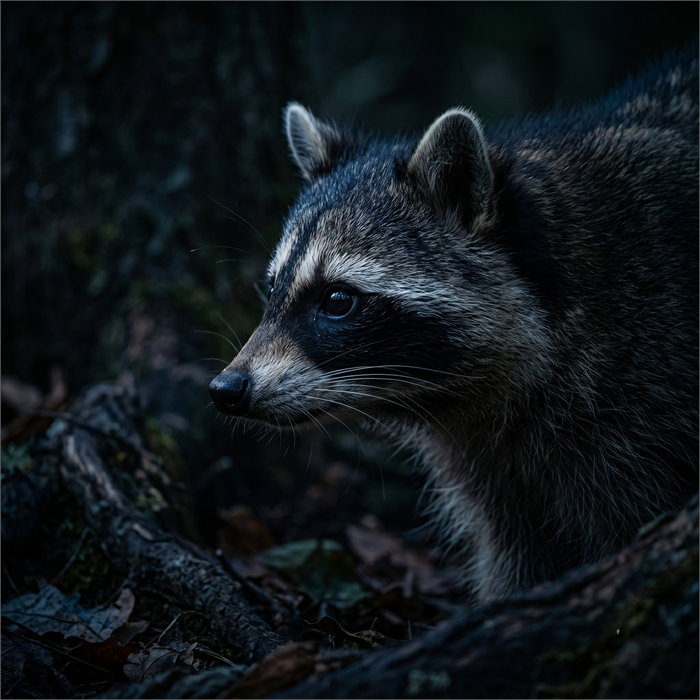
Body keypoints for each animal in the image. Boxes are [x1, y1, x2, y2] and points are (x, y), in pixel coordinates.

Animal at [210, 45, 699, 601]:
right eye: (272, 288)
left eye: (337, 300)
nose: (227, 388)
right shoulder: (498, 472)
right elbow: (517, 556)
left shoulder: (647, 409)